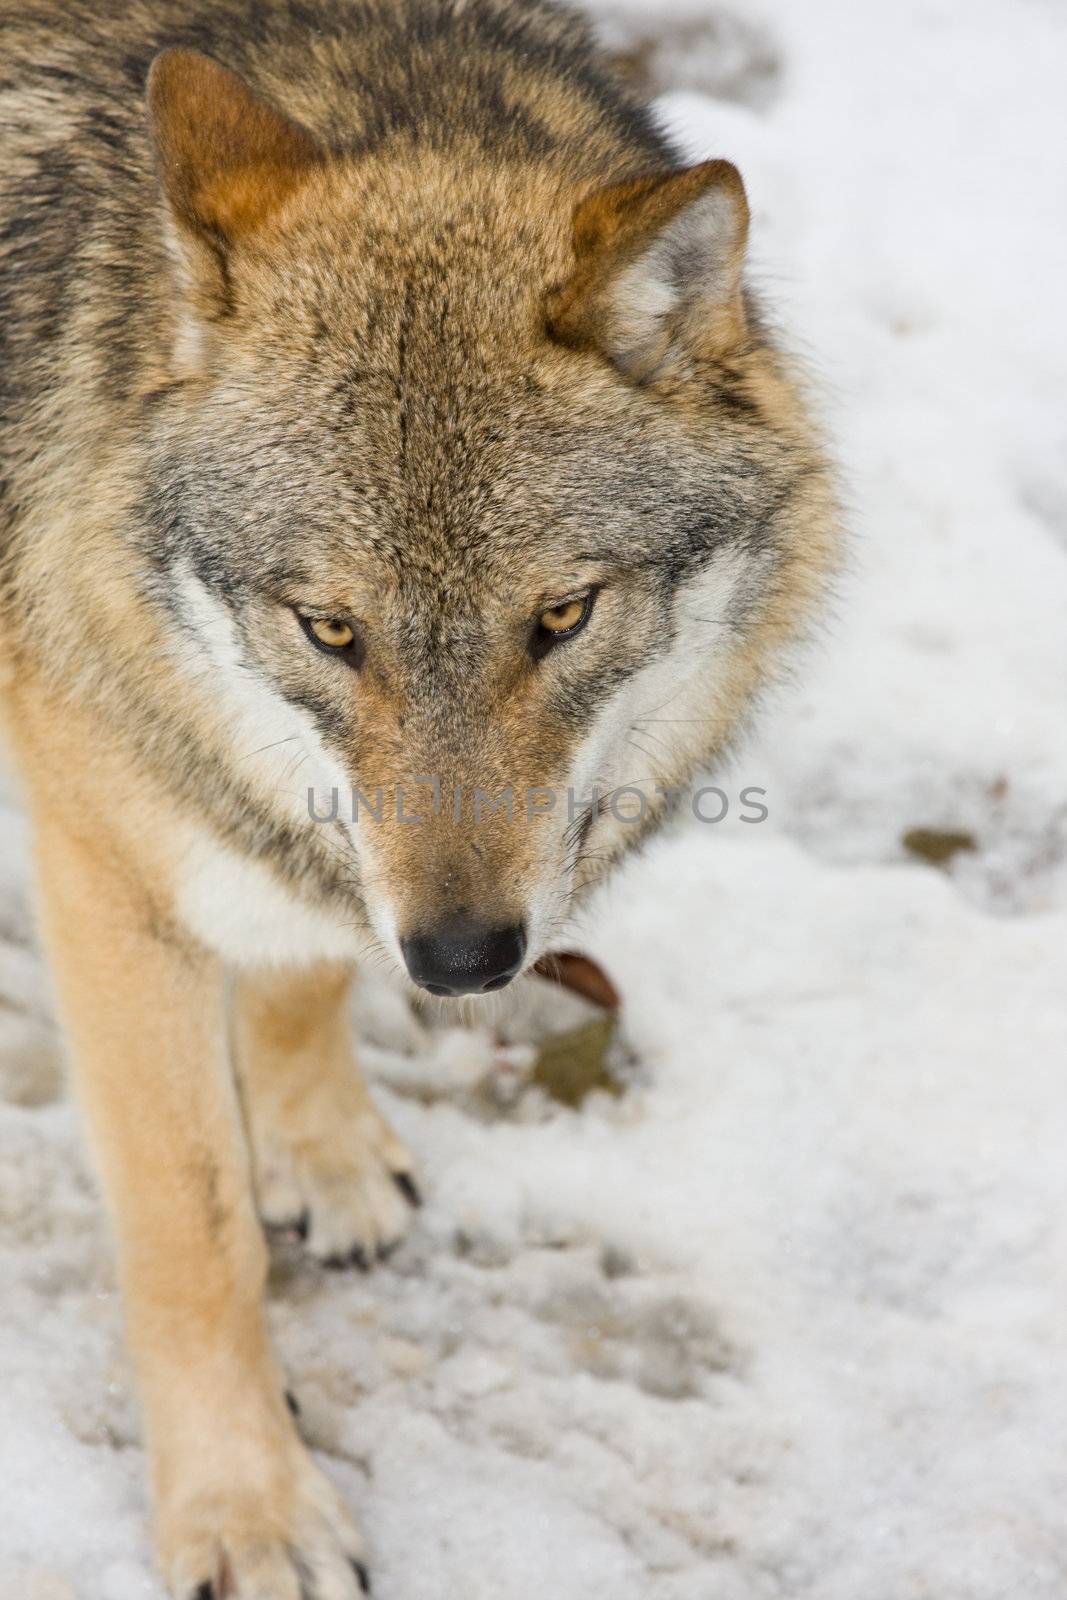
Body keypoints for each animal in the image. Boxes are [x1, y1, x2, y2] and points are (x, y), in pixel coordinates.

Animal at [0, 0, 838, 1587]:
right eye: (330, 628)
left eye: (561, 616)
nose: (461, 961)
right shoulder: (110, 878)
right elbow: (194, 1232)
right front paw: (247, 1510)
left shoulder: (326, 866)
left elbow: (309, 971)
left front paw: (319, 1147)